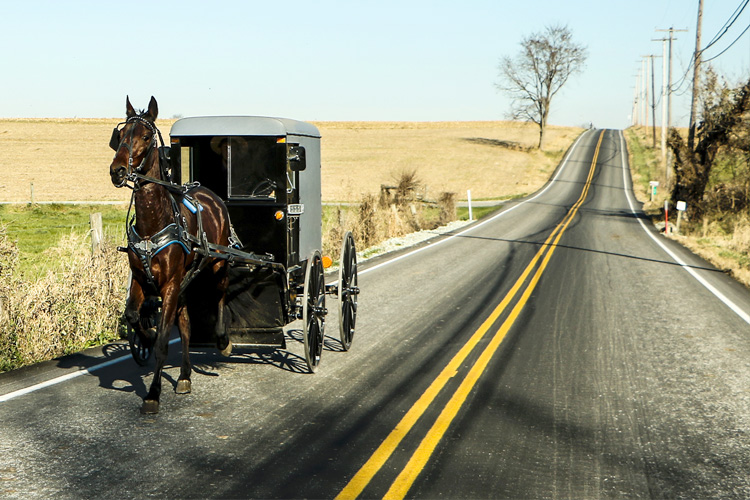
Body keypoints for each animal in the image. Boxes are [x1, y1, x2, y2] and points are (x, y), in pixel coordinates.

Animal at [109, 94, 232, 414]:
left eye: (146, 136)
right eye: (121, 134)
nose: (117, 170)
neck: (154, 223)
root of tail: (208, 193)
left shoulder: (171, 284)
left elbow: (164, 341)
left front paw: (152, 394)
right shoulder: (141, 278)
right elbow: (132, 315)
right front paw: (145, 335)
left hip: (217, 262)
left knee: (220, 294)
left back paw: (223, 340)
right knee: (186, 324)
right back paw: (186, 375)